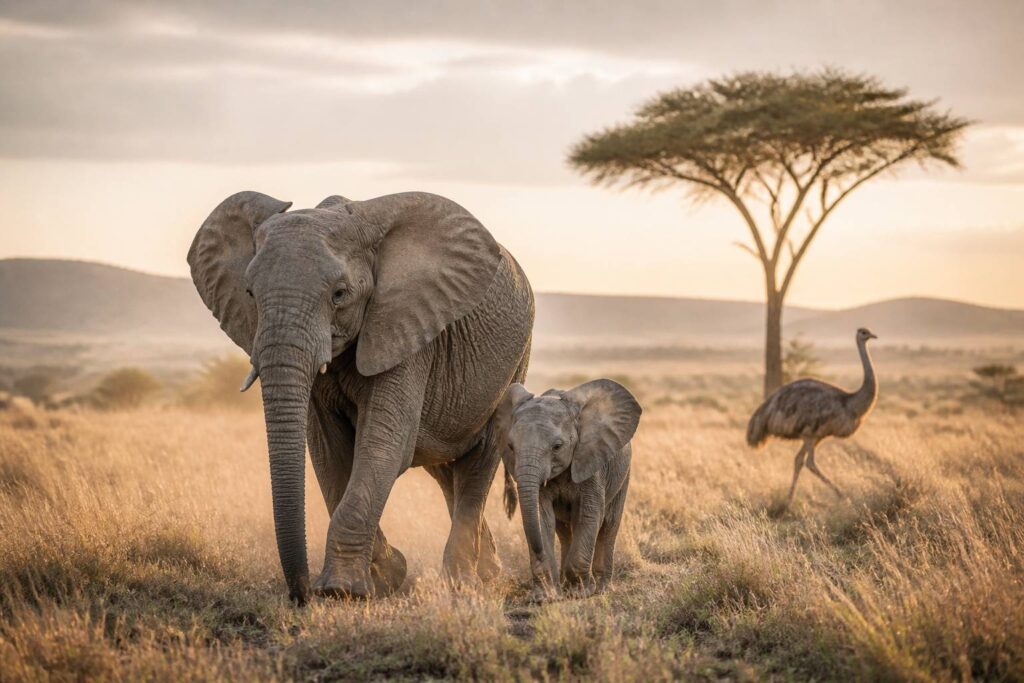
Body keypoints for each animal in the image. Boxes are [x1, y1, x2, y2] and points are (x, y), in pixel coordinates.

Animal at [187, 191, 534, 603]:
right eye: (250, 293)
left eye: (340, 295)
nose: (300, 595)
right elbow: (329, 451)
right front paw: (385, 575)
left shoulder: (406, 330)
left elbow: (383, 446)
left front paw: (343, 590)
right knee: (445, 467)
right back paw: (487, 573)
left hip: (515, 362)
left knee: (478, 462)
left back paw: (462, 583)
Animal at [494, 379, 641, 601]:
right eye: (510, 446)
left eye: (557, 446)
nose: (539, 553)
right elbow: (542, 516)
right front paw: (545, 597)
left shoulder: (591, 461)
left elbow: (589, 514)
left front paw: (580, 593)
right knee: (564, 530)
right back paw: (565, 582)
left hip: (623, 474)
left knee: (609, 525)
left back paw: (602, 587)